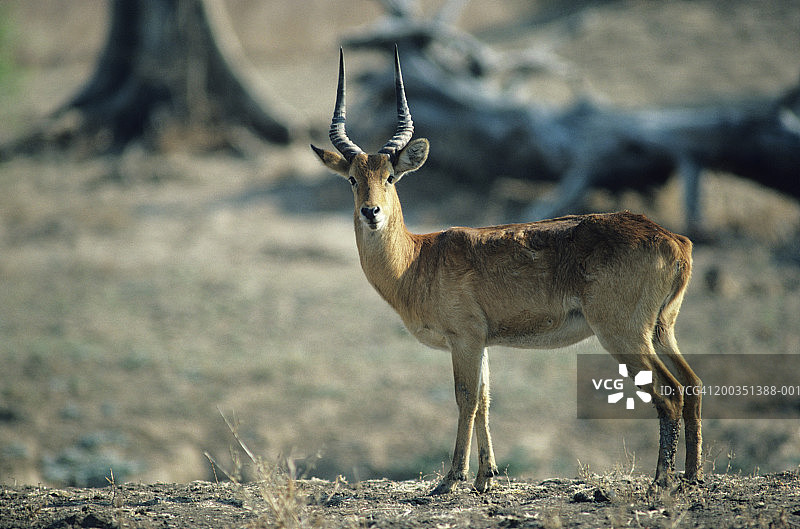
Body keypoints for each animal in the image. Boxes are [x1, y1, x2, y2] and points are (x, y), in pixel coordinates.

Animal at [310, 47, 704, 492]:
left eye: (391, 177)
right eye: (352, 179)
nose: (371, 212)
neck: (418, 260)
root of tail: (673, 239)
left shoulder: (464, 339)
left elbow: (465, 398)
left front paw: (452, 479)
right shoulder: (482, 342)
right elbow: (485, 400)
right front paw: (486, 478)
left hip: (624, 335)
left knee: (669, 393)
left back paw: (661, 480)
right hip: (661, 329)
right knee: (692, 385)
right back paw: (691, 475)